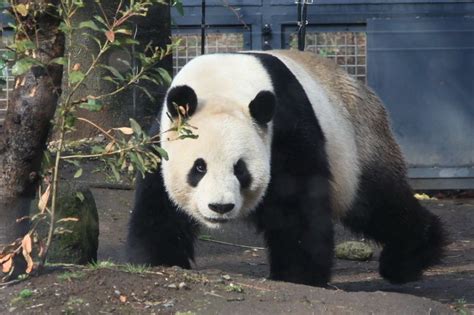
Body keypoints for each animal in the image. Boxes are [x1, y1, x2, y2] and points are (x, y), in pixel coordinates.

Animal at [126, 48, 444, 286]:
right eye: (199, 168)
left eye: (240, 169)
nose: (220, 207)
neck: (223, 84)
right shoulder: (162, 138)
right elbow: (160, 204)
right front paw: (159, 259)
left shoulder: (285, 126)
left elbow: (297, 206)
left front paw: (298, 276)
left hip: (357, 144)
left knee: (376, 203)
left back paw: (408, 258)